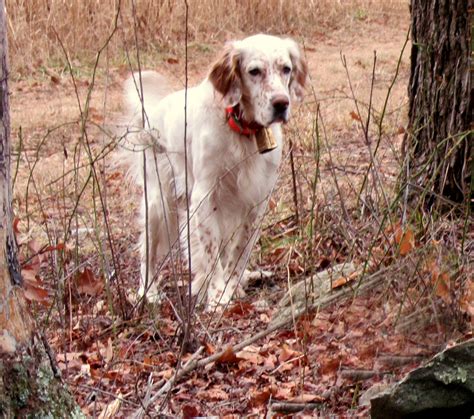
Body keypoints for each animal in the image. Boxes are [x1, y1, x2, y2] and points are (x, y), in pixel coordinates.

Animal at [122, 33, 308, 308]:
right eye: (254, 71)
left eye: (286, 69)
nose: (281, 104)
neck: (242, 131)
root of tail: (155, 110)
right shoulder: (204, 197)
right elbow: (211, 253)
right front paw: (218, 296)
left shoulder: (256, 201)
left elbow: (238, 252)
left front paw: (231, 287)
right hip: (158, 202)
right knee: (148, 252)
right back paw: (149, 292)